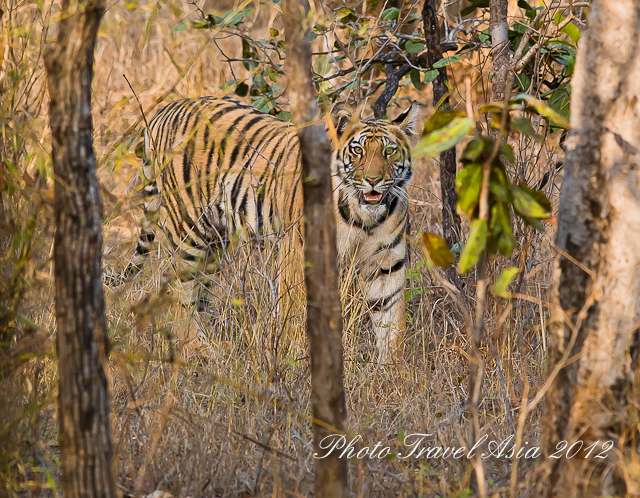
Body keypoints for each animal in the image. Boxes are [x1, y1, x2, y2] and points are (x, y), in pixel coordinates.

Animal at [124, 95, 418, 361]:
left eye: (389, 151)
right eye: (358, 151)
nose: (373, 180)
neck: (363, 218)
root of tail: (167, 108)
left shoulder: (386, 263)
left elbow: (391, 322)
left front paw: (392, 370)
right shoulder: (299, 256)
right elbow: (297, 311)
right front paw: (298, 360)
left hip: (214, 244)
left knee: (199, 295)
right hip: (190, 232)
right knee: (179, 292)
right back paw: (197, 351)